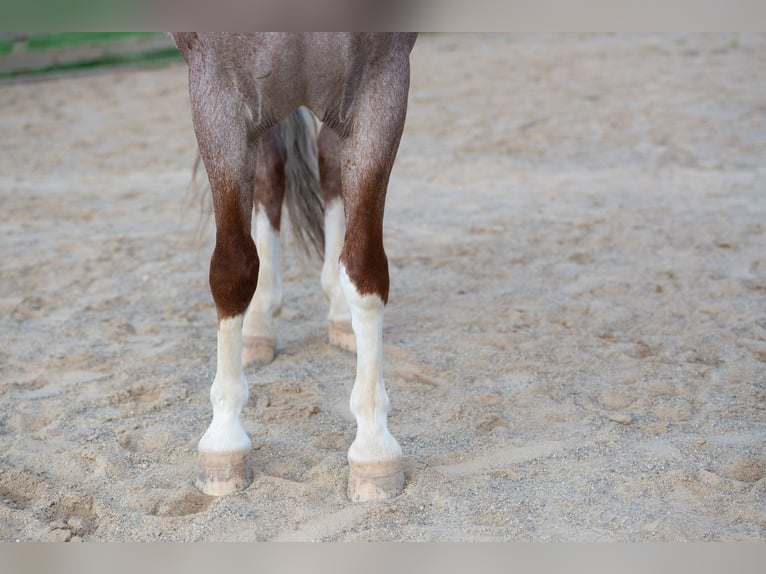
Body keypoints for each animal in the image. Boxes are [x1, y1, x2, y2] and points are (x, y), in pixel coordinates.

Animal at [171, 33, 418, 501]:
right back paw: (258, 327)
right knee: (270, 171)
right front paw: (223, 441)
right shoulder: (216, 89)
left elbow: (365, 268)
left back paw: (339, 316)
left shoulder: (383, 80)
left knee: (329, 161)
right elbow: (233, 270)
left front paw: (374, 448)